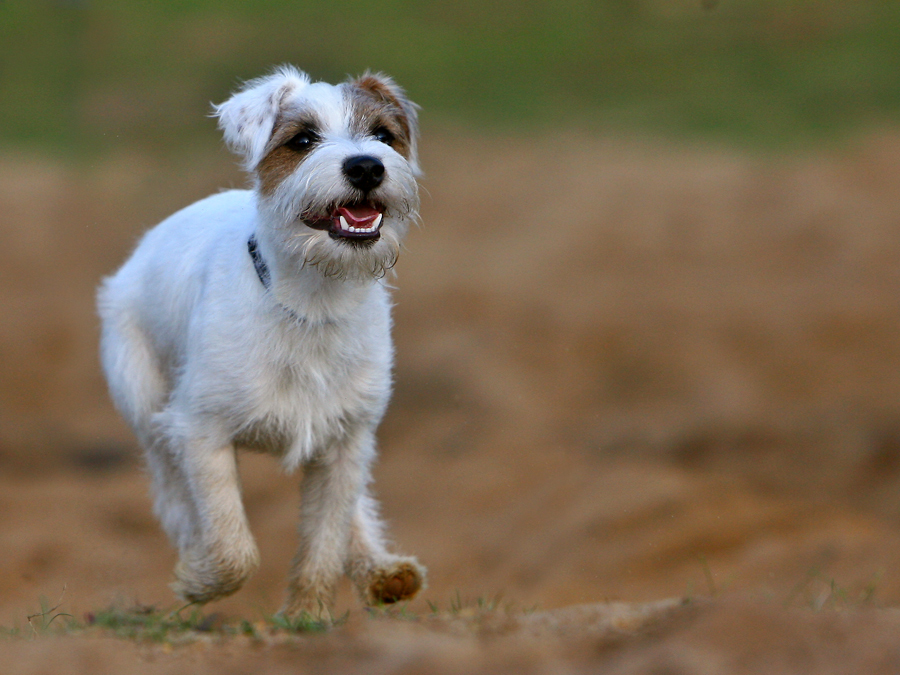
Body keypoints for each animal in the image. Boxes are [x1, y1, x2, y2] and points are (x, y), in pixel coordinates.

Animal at [96, 66, 428, 620]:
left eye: (384, 136)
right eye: (303, 140)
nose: (366, 166)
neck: (313, 303)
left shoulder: (346, 443)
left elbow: (324, 540)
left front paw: (307, 618)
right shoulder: (201, 432)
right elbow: (233, 548)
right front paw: (200, 580)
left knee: (354, 511)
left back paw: (383, 570)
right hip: (146, 405)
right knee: (172, 493)